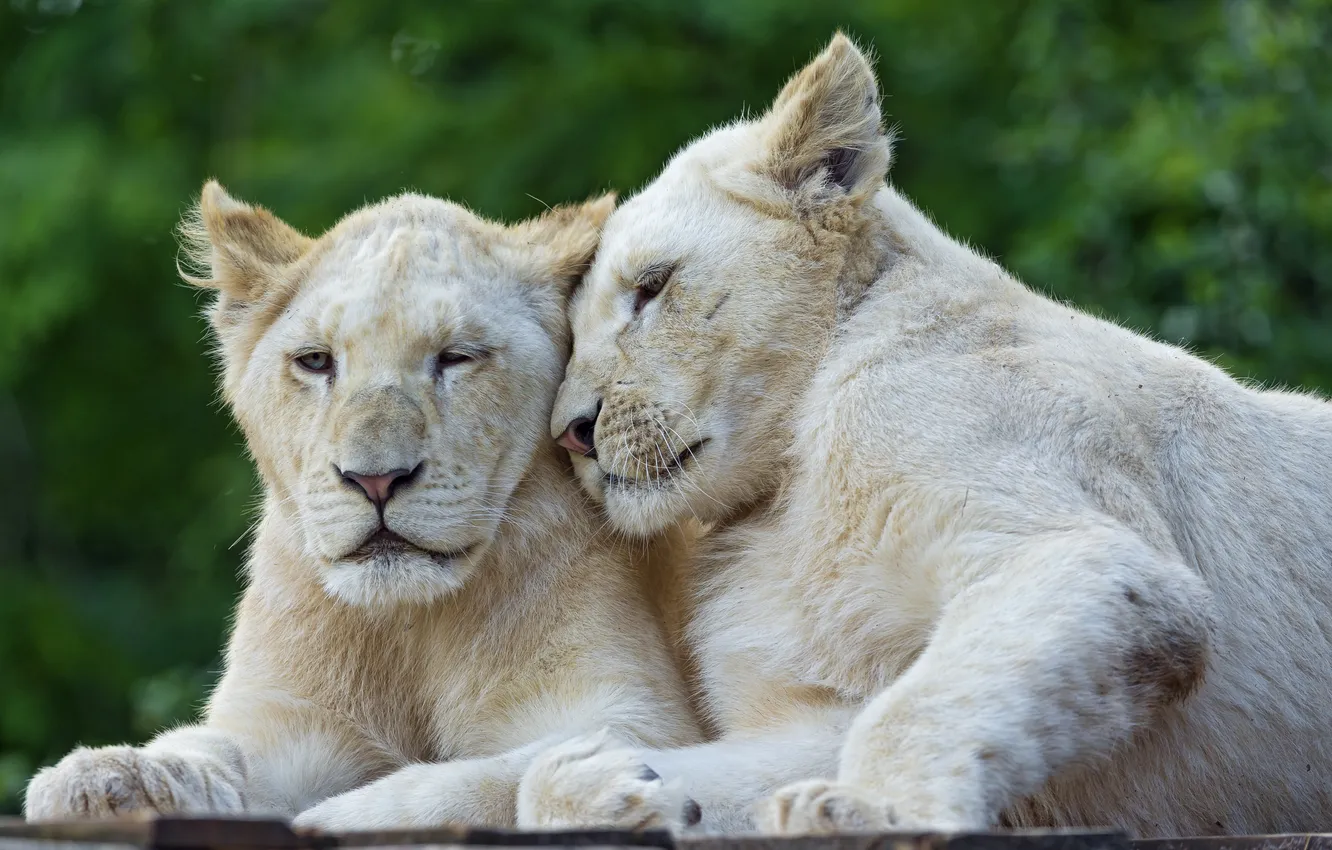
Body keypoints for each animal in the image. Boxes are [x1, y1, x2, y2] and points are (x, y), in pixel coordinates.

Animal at [23, 182, 707, 830]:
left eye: (456, 357)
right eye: (316, 361)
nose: (375, 480)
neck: (407, 626)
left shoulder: (631, 710)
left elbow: (473, 779)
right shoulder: (285, 724)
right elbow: (211, 752)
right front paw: (103, 776)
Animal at [521, 33, 1332, 837]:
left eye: (652, 287)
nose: (572, 433)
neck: (784, 496)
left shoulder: (1086, 551)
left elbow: (920, 707)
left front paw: (864, 813)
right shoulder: (821, 702)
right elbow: (565, 781)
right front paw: (616, 788)